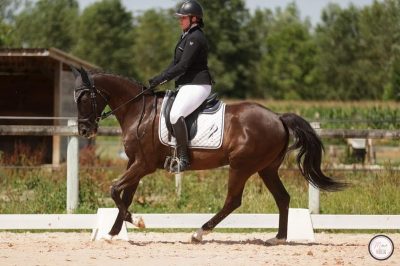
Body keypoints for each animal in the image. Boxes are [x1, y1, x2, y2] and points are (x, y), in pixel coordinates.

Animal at [71, 67, 344, 245]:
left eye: (84, 98)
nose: (84, 130)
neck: (139, 110)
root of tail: (278, 117)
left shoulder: (143, 164)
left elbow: (114, 189)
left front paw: (136, 221)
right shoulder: (133, 162)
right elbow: (124, 196)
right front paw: (112, 233)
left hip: (241, 167)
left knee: (233, 201)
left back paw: (199, 233)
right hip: (266, 169)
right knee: (282, 198)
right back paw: (278, 238)